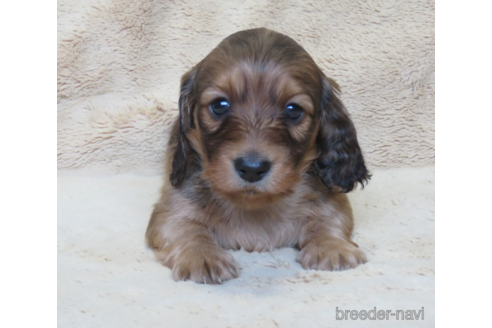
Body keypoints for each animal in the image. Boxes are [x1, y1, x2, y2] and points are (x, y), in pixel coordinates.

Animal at [146, 27, 368, 284]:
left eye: (293, 110)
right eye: (219, 105)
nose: (252, 168)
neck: (255, 206)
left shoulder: (331, 200)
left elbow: (327, 219)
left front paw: (332, 246)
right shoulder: (172, 210)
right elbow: (187, 228)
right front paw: (201, 255)